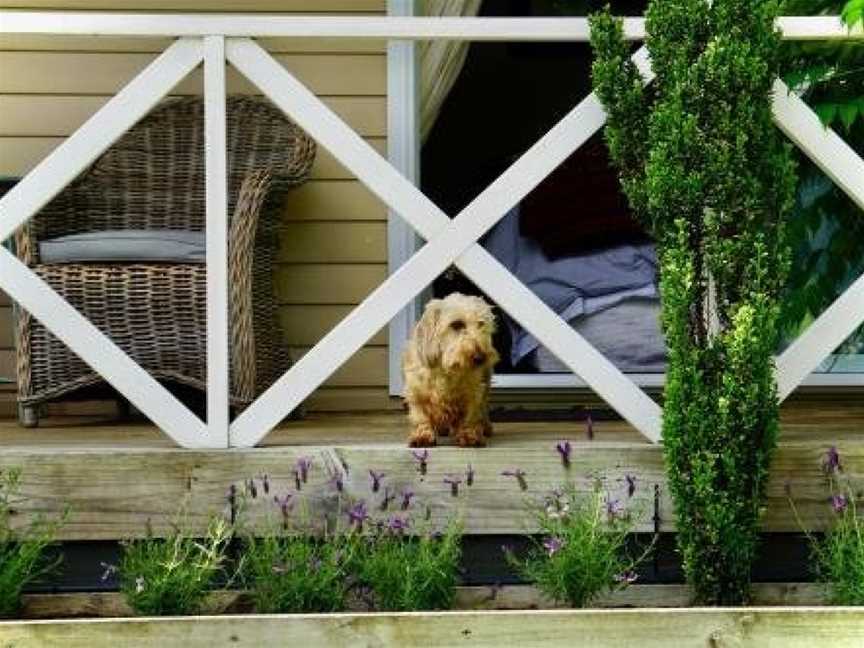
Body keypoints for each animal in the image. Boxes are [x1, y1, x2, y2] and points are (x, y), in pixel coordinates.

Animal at [400, 292, 496, 448]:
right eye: (456, 324)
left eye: (481, 324)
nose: (481, 358)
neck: (447, 369)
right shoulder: (416, 393)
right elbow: (421, 417)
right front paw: (423, 435)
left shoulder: (473, 392)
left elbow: (470, 416)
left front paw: (469, 435)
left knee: (483, 407)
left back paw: (485, 426)